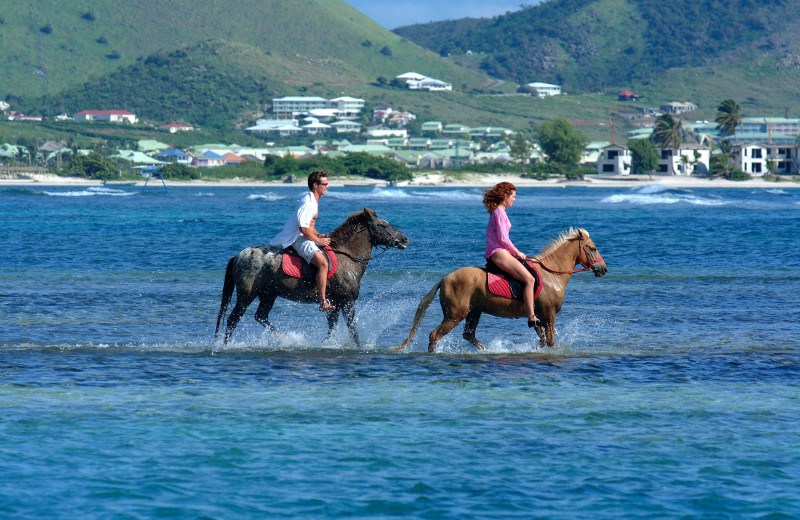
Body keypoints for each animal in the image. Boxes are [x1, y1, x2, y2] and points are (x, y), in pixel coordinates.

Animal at [216, 207, 410, 346]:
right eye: (383, 225)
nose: (405, 239)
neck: (347, 256)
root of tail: (238, 256)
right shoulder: (347, 302)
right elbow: (352, 329)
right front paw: (360, 346)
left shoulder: (335, 304)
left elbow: (332, 328)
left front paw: (326, 344)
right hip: (247, 294)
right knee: (233, 319)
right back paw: (226, 345)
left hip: (269, 294)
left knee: (261, 316)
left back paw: (284, 338)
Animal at [394, 229, 608, 354]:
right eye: (592, 248)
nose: (604, 269)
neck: (551, 275)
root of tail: (444, 278)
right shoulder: (549, 314)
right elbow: (551, 341)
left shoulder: (539, 316)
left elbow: (543, 340)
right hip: (455, 315)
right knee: (435, 335)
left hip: (473, 311)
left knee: (468, 335)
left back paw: (485, 350)